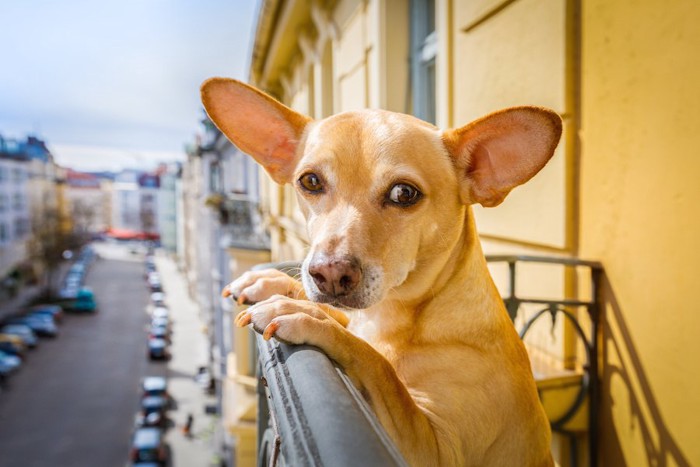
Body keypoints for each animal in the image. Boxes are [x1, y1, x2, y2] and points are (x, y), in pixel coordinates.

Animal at [200, 78, 560, 466]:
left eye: (404, 193)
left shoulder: (437, 450)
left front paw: (311, 318)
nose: (329, 274)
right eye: (310, 181)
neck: (397, 316)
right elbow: (348, 326)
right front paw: (278, 284)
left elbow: (379, 367)